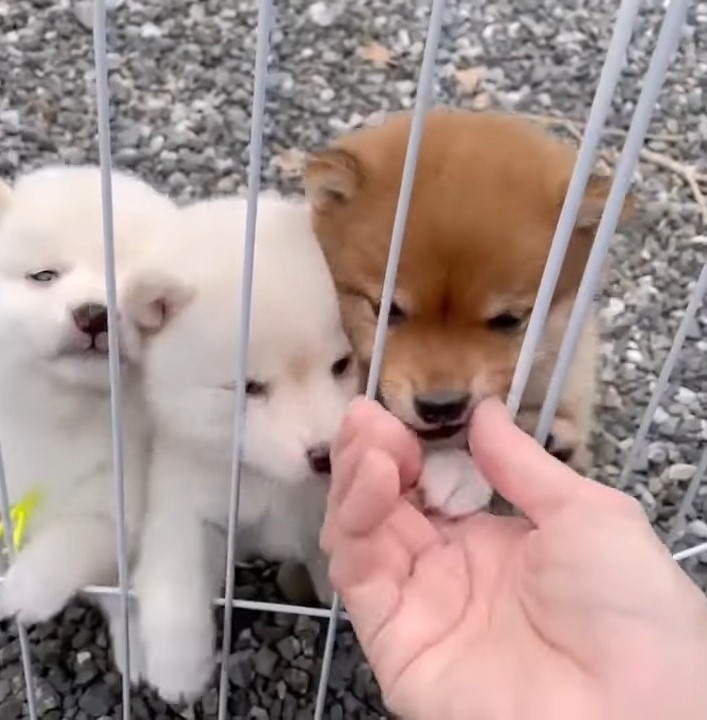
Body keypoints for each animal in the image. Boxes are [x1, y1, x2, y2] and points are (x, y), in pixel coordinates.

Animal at [0, 163, 177, 680]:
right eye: (43, 276)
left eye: (148, 299)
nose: (93, 313)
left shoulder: (125, 508)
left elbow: (78, 540)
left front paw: (26, 587)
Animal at [124, 191, 356, 704]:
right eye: (250, 388)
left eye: (343, 365)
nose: (325, 454)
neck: (267, 482)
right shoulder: (185, 485)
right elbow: (176, 564)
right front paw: (179, 667)